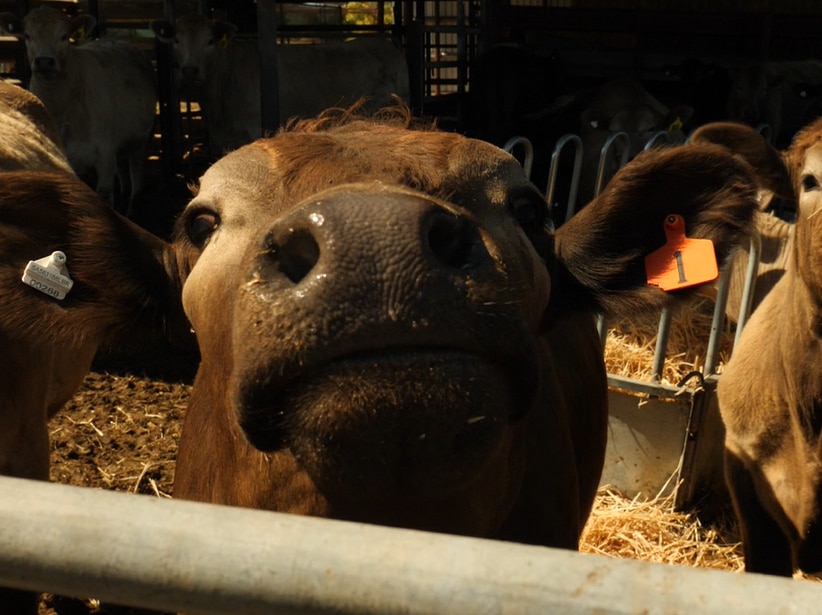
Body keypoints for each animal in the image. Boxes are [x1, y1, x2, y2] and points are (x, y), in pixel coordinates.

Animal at [0, 6, 158, 217]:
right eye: (27, 35)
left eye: (64, 36)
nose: (44, 61)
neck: (62, 110)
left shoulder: (105, 153)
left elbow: (105, 194)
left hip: (140, 139)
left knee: (135, 172)